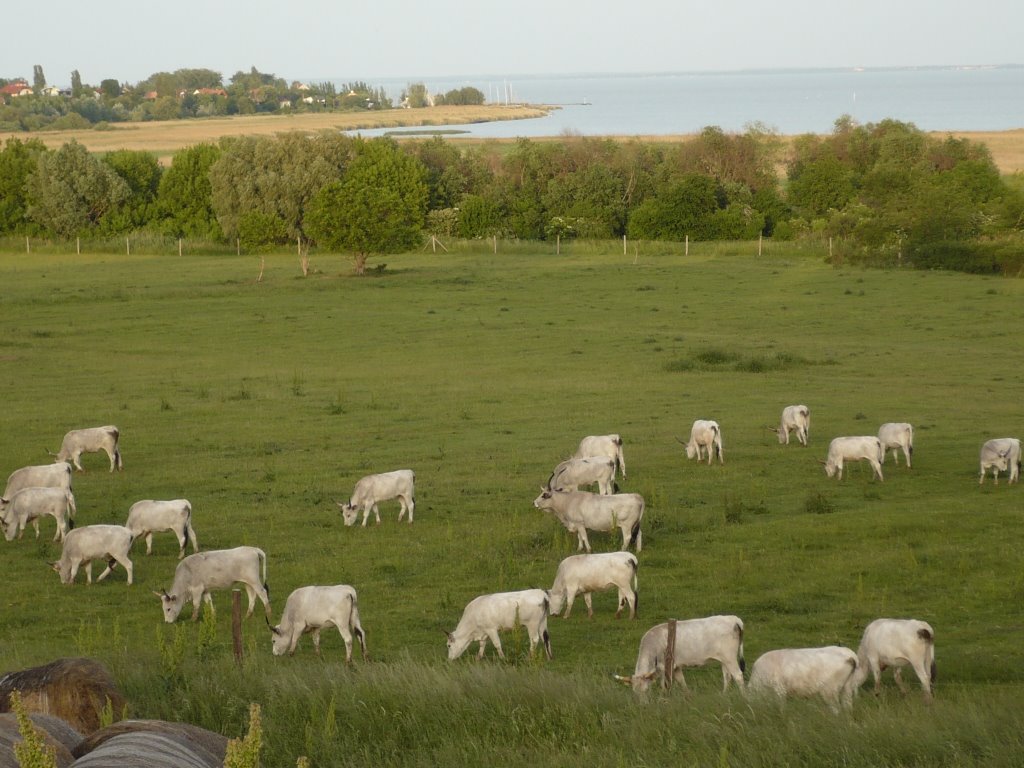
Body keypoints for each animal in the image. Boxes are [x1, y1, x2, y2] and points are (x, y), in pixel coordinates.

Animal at [610, 618, 749, 696]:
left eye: (646, 690)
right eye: (634, 692)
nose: (642, 706)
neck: (653, 643)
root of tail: (734, 619)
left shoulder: (664, 667)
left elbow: (665, 685)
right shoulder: (676, 666)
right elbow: (682, 681)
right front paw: (688, 695)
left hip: (729, 658)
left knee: (738, 675)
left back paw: (743, 696)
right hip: (724, 659)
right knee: (727, 677)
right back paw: (724, 695)